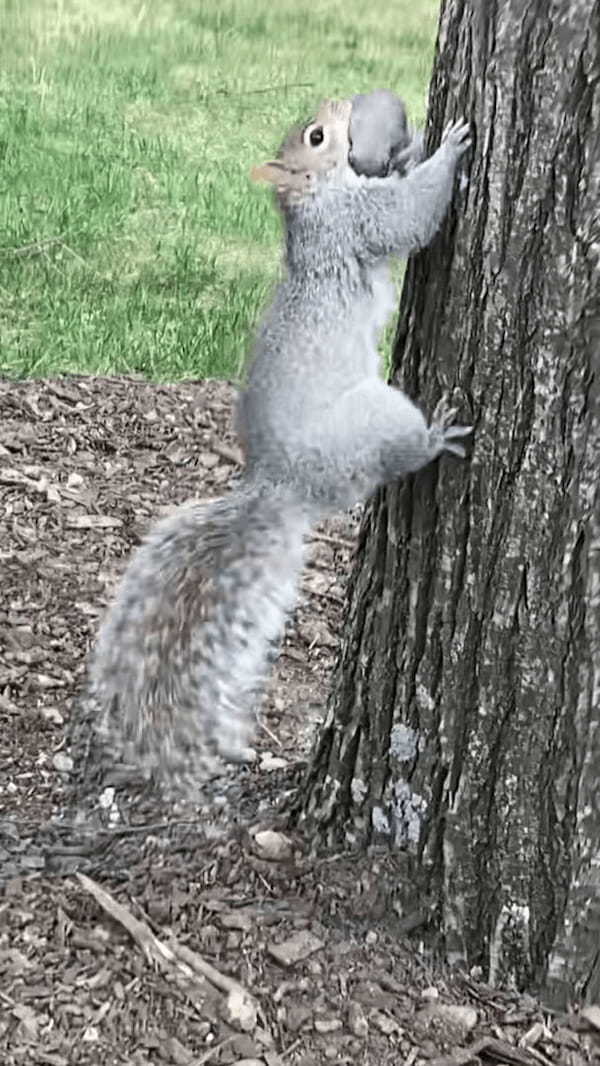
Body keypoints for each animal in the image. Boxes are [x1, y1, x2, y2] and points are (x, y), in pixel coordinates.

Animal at [73, 95, 471, 801]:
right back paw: (435, 435)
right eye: (316, 135)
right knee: (400, 450)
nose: (342, 102)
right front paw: (447, 147)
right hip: (371, 420)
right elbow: (406, 216)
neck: (314, 202)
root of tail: (280, 482)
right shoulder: (353, 224)